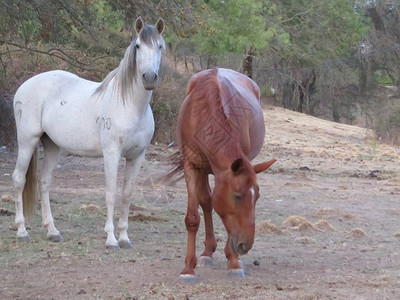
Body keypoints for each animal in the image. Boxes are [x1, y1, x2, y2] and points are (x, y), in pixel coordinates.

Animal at [12, 17, 166, 250]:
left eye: (160, 46)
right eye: (138, 46)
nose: (149, 77)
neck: (129, 105)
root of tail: (24, 86)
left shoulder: (137, 156)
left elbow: (127, 195)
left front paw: (124, 238)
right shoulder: (111, 154)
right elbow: (111, 193)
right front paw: (111, 240)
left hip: (52, 145)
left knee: (44, 182)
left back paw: (52, 231)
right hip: (27, 142)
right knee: (19, 179)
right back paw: (22, 231)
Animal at [177, 67, 276, 282]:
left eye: (257, 198)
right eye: (237, 196)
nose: (245, 245)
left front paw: (234, 262)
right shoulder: (191, 166)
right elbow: (193, 217)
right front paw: (188, 269)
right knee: (206, 202)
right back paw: (207, 252)